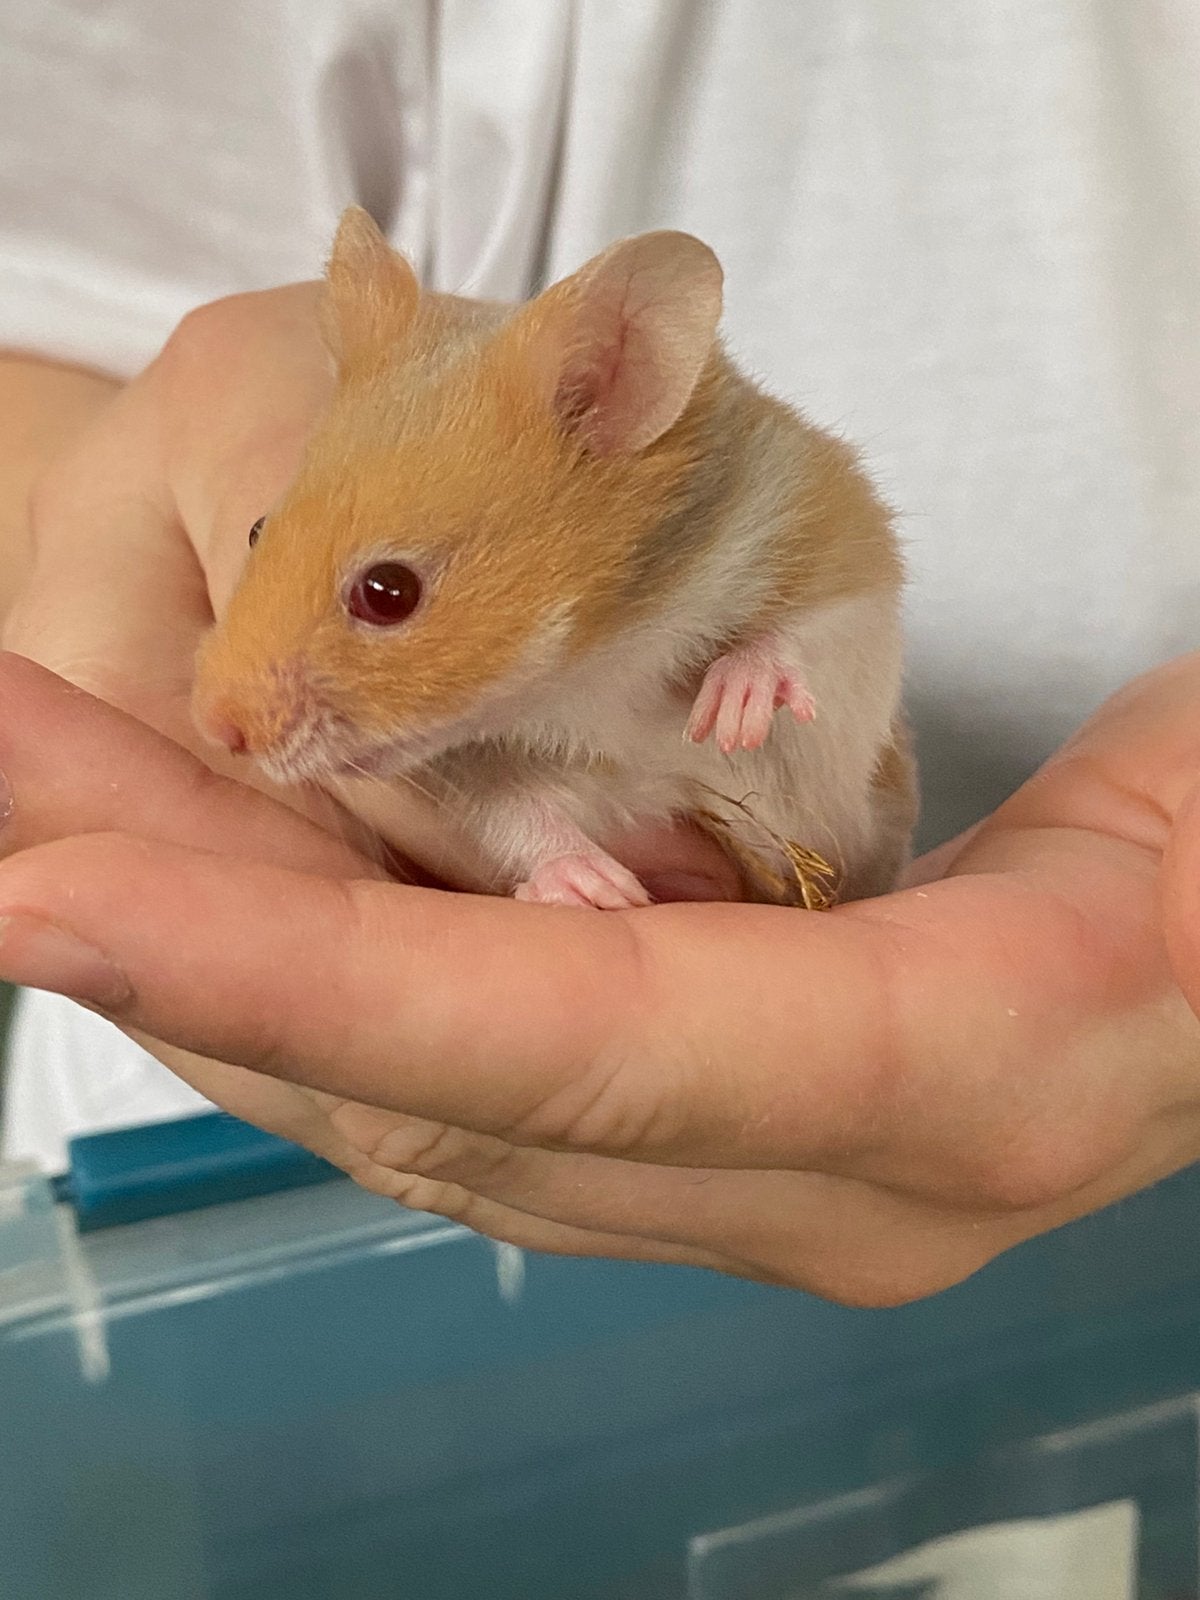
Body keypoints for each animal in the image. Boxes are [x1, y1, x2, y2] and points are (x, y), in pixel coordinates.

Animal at [192, 206, 916, 909]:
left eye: (388, 592)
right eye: (256, 530)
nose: (214, 727)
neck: (593, 663)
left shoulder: (831, 532)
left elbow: (813, 631)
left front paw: (731, 716)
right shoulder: (488, 766)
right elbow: (524, 817)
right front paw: (598, 889)